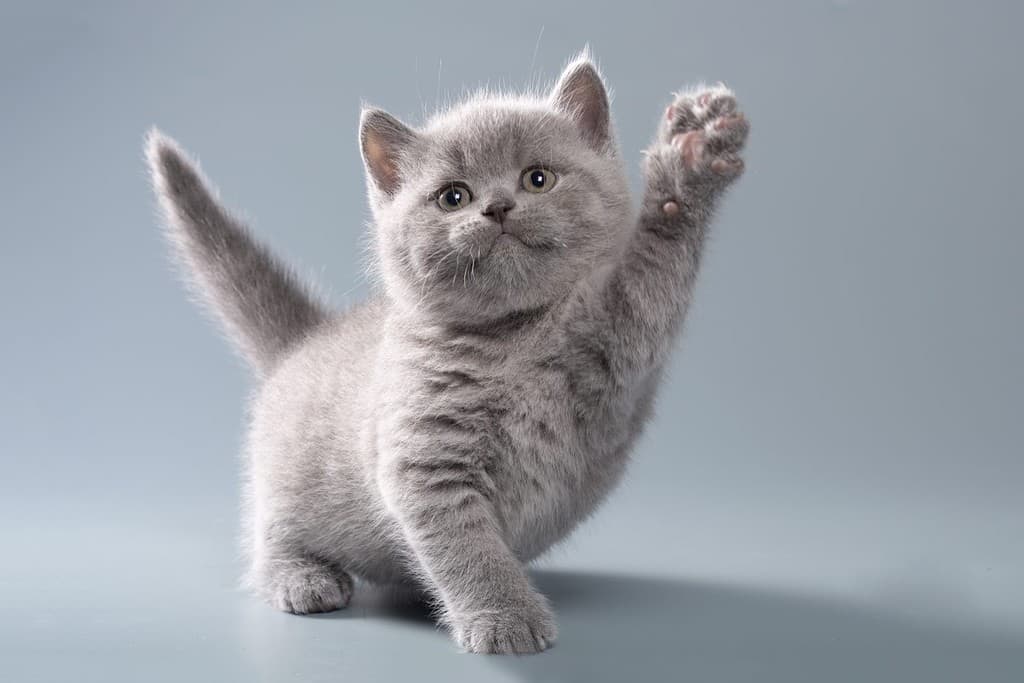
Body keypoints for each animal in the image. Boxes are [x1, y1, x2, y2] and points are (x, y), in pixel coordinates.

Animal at [146, 52, 745, 651]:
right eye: (453, 196)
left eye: (538, 178)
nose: (498, 207)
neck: (513, 338)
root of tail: (306, 340)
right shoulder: (426, 461)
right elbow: (467, 548)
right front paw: (505, 616)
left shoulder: (620, 341)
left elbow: (653, 272)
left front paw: (691, 160)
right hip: (283, 484)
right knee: (267, 535)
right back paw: (302, 578)